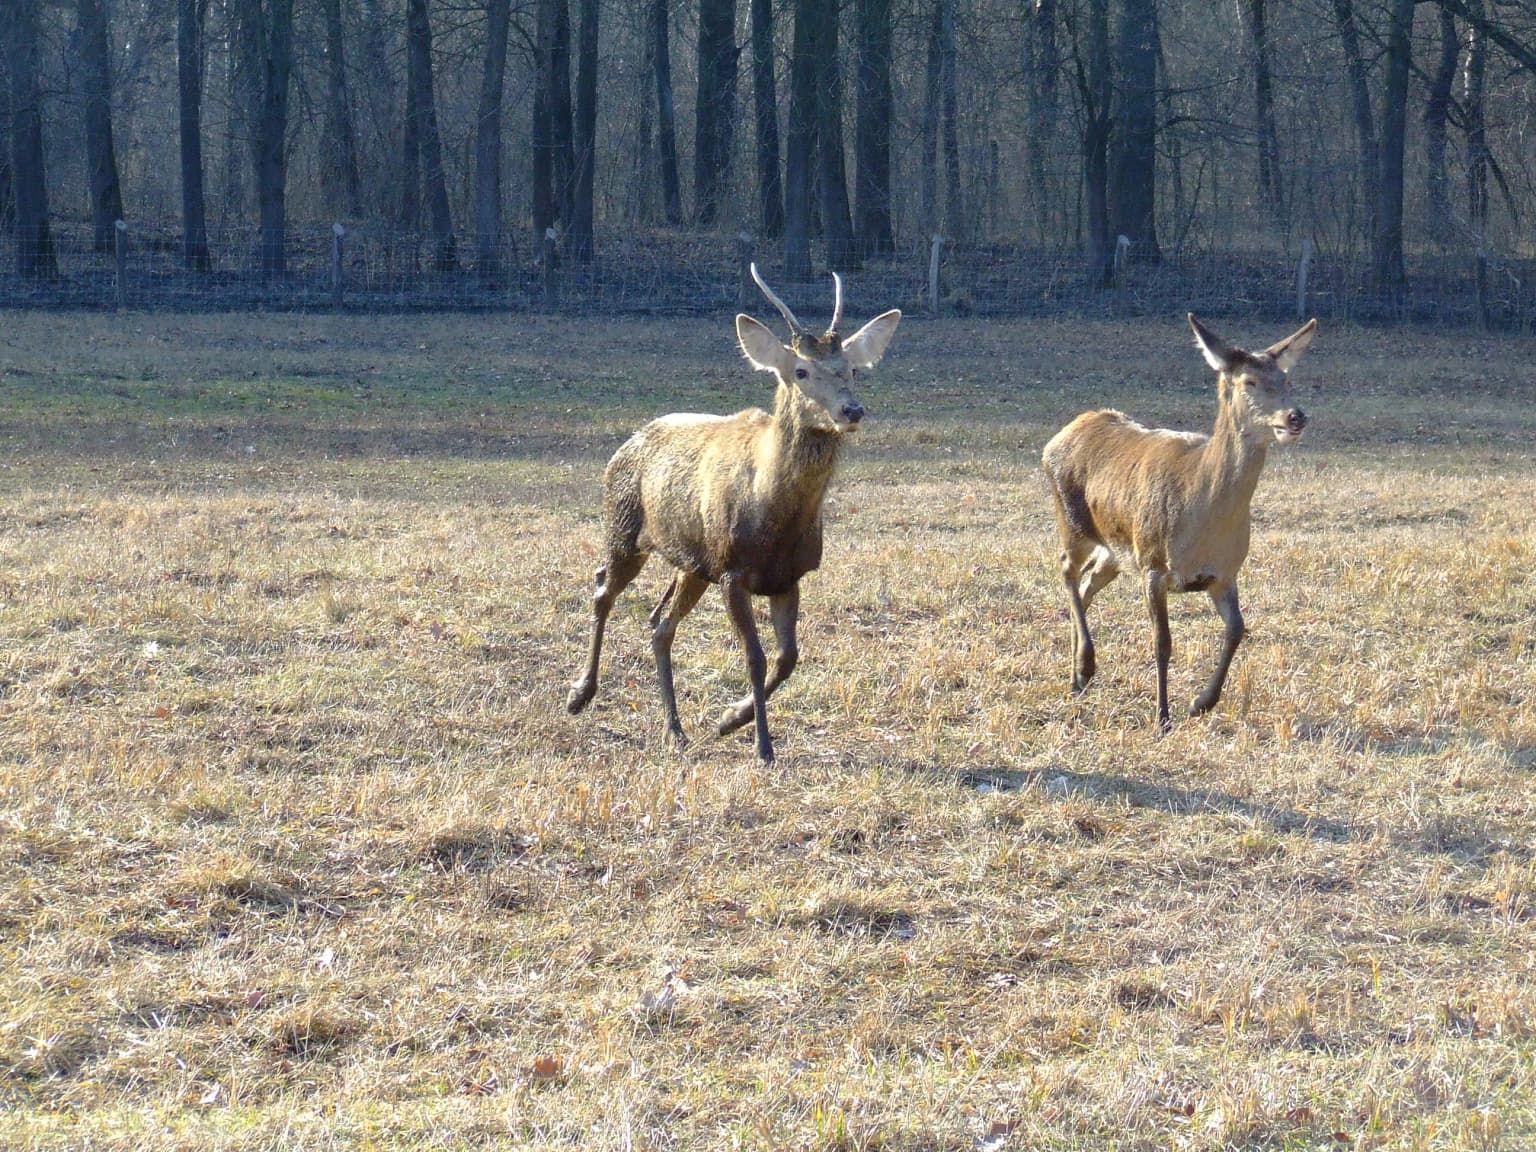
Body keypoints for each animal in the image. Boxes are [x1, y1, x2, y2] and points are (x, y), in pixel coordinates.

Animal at [565, 265, 902, 763]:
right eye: (800, 370)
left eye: (854, 369)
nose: (851, 409)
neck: (774, 524)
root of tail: (628, 442)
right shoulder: (732, 571)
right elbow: (755, 656)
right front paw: (762, 745)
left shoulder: (788, 577)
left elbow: (787, 657)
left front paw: (729, 720)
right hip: (624, 525)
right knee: (603, 587)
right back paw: (579, 694)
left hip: (691, 565)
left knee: (659, 625)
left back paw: (675, 729)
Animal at [1041, 313, 1318, 732]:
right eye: (1249, 382)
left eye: (1287, 380)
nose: (1295, 417)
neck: (1202, 520)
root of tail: (1060, 435)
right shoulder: (1154, 563)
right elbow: (1162, 641)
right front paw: (1163, 716)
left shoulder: (1224, 572)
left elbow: (1237, 630)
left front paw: (1200, 703)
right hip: (1074, 522)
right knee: (1066, 569)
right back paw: (1085, 666)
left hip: (1117, 550)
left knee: (1088, 582)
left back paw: (1077, 676)